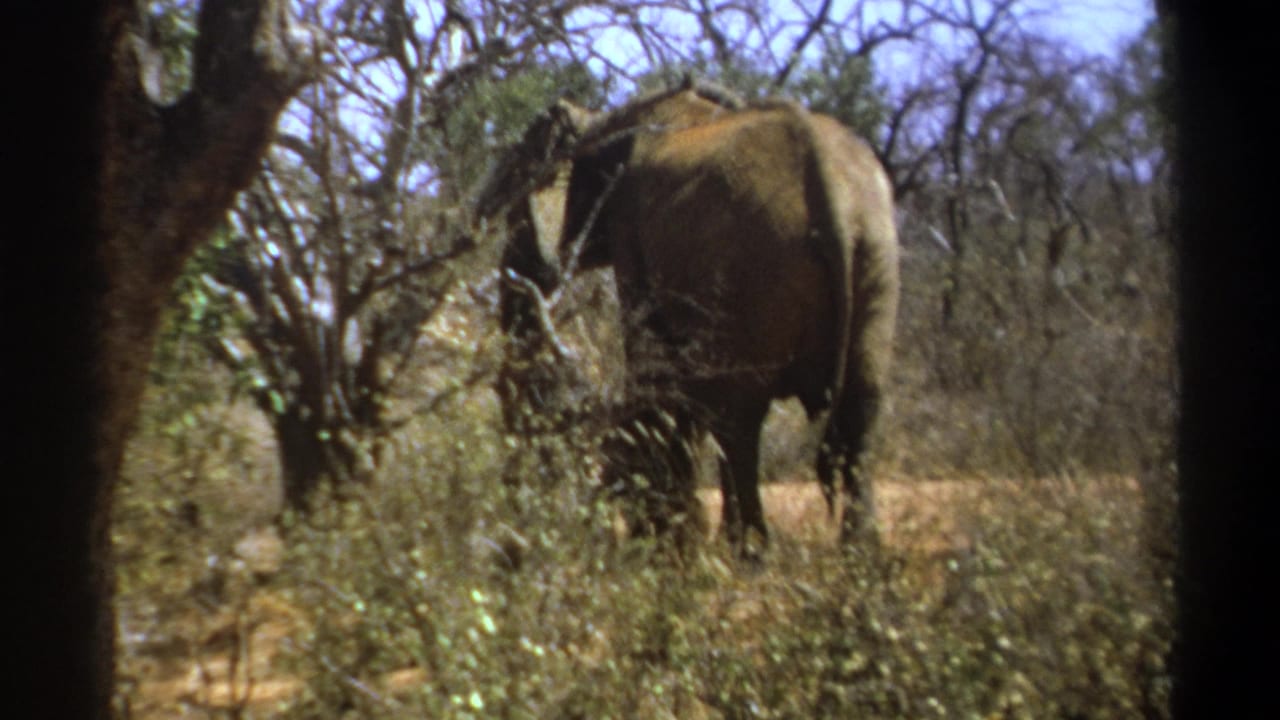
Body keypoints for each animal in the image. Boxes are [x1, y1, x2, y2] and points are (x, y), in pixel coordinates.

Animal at [477, 79, 900, 555]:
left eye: (517, 212)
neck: (603, 120)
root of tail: (830, 189)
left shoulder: (630, 224)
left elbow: (652, 365)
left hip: (756, 268)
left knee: (740, 419)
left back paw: (747, 551)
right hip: (876, 253)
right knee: (860, 411)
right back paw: (858, 555)